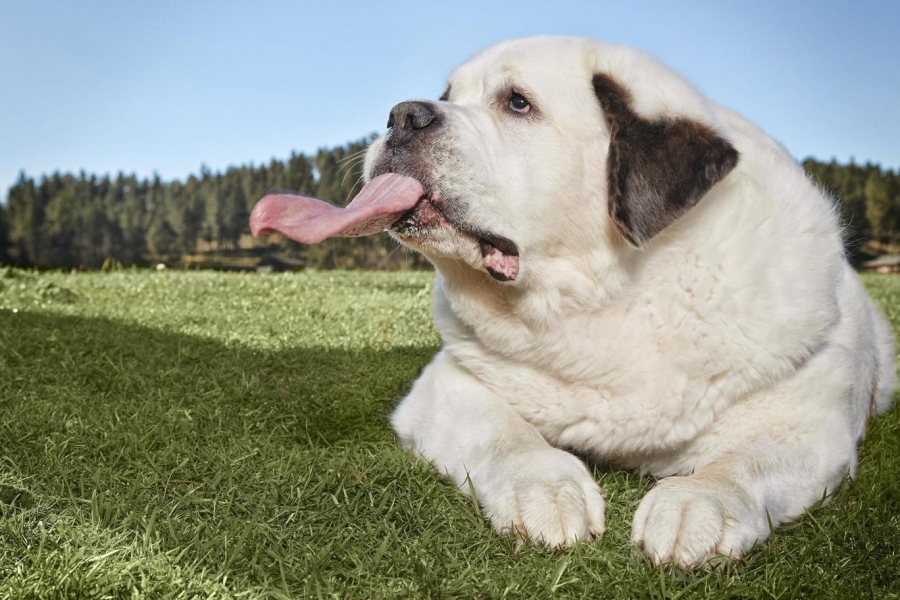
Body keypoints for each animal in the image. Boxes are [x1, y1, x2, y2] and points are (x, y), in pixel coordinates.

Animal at [250, 35, 896, 568]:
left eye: (517, 102)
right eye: (446, 95)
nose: (403, 115)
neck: (608, 293)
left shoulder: (809, 424)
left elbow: (741, 462)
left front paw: (697, 505)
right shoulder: (447, 384)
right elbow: (504, 433)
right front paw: (546, 491)